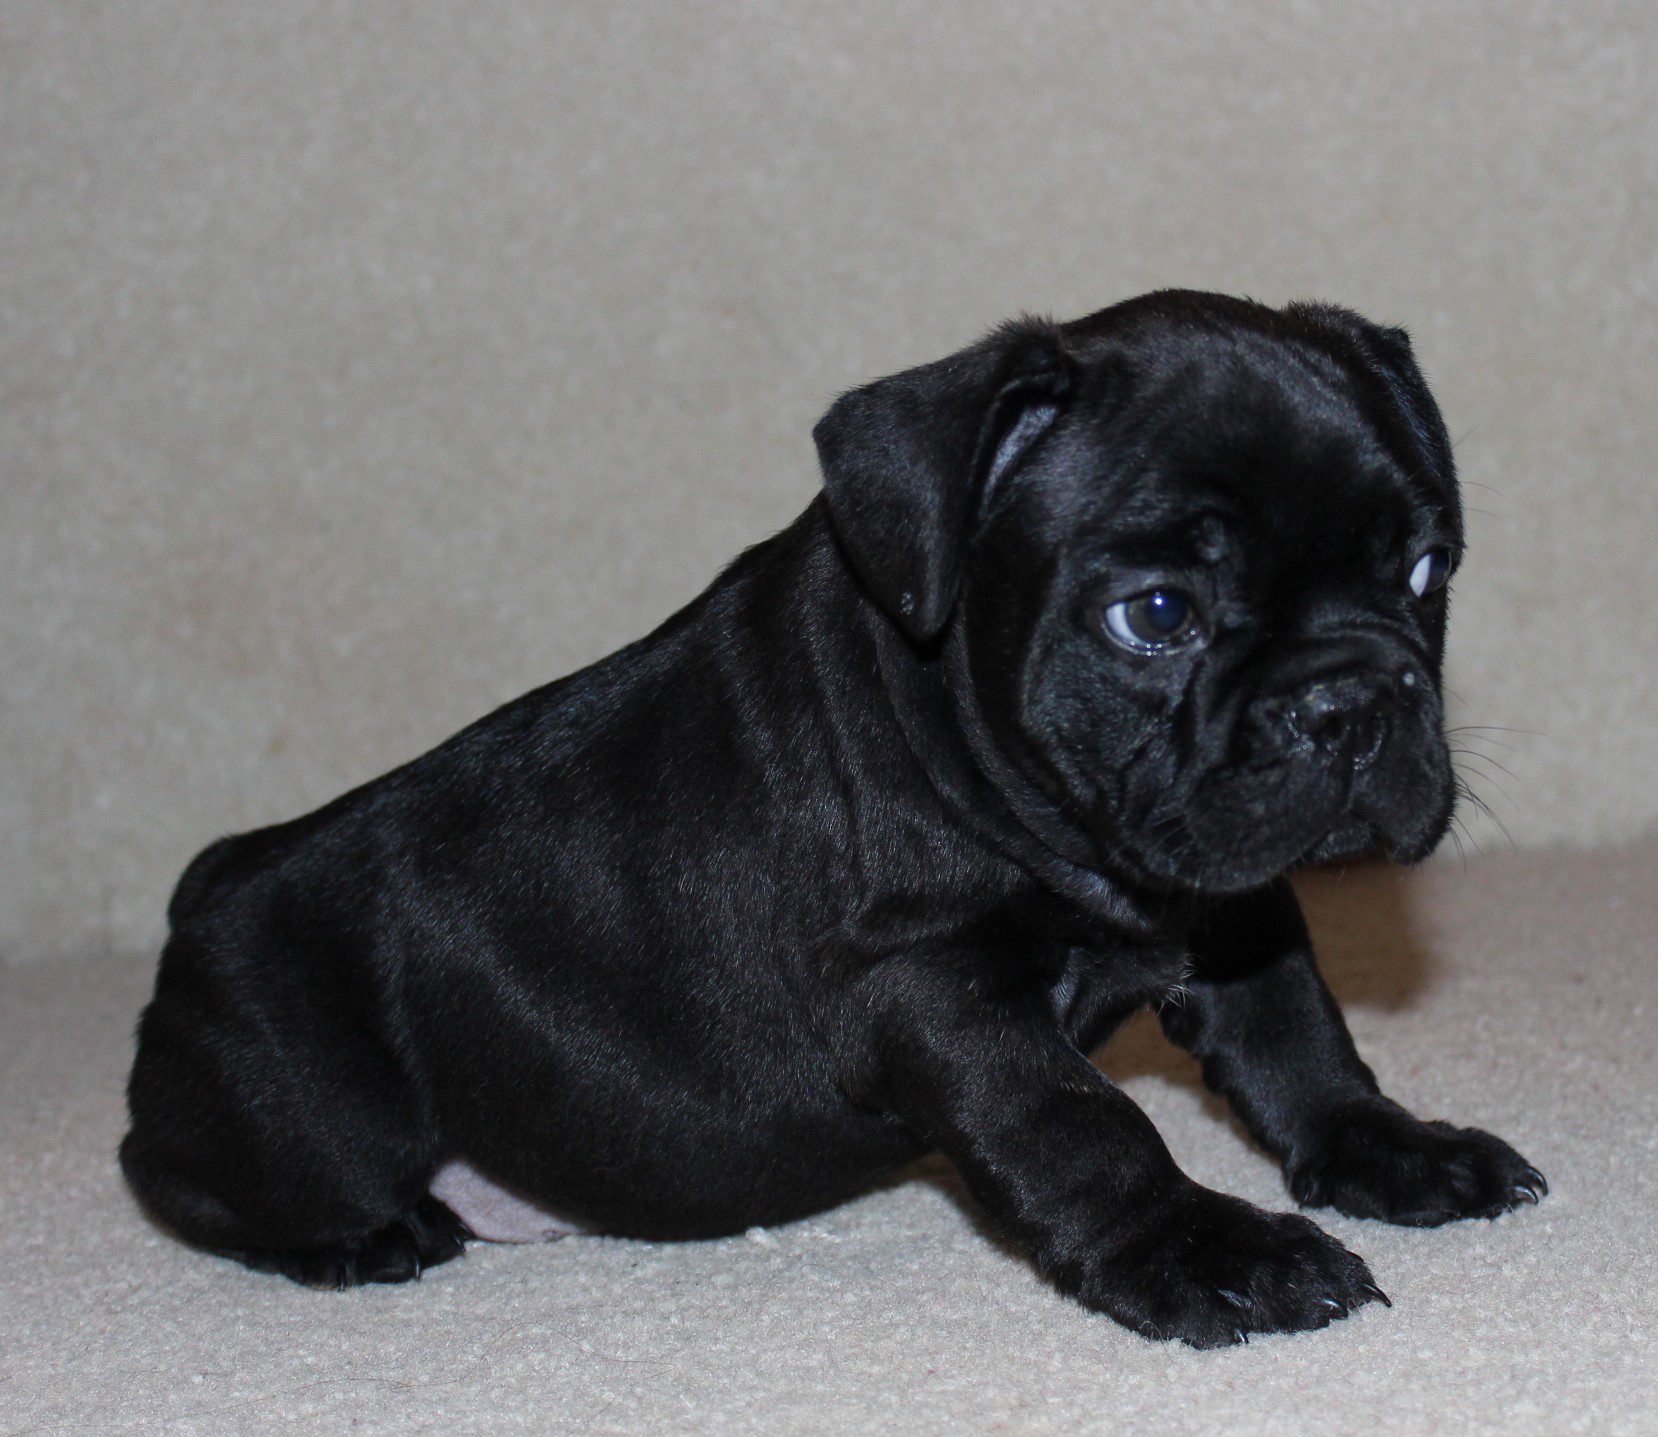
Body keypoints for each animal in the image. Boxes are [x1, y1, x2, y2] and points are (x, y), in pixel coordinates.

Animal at [122, 290, 1544, 1347]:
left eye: (1424, 570)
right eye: (1154, 615)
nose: (1348, 701)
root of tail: (212, 882)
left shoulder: (1235, 907)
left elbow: (1298, 1038)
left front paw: (1394, 1151)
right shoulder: (935, 995)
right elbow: (1085, 1128)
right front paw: (1213, 1253)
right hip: (309, 1117)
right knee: (180, 1172)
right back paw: (367, 1235)